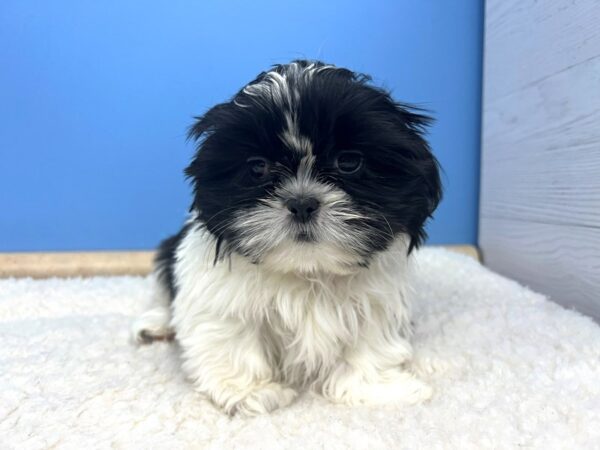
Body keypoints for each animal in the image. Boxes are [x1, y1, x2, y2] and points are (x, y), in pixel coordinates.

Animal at [132, 59, 440, 414]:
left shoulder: (376, 301)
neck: (306, 272)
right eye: (258, 168)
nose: (302, 202)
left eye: (349, 162)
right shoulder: (221, 299)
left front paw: (379, 389)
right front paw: (249, 392)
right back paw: (156, 324)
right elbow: (233, 339)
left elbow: (370, 344)